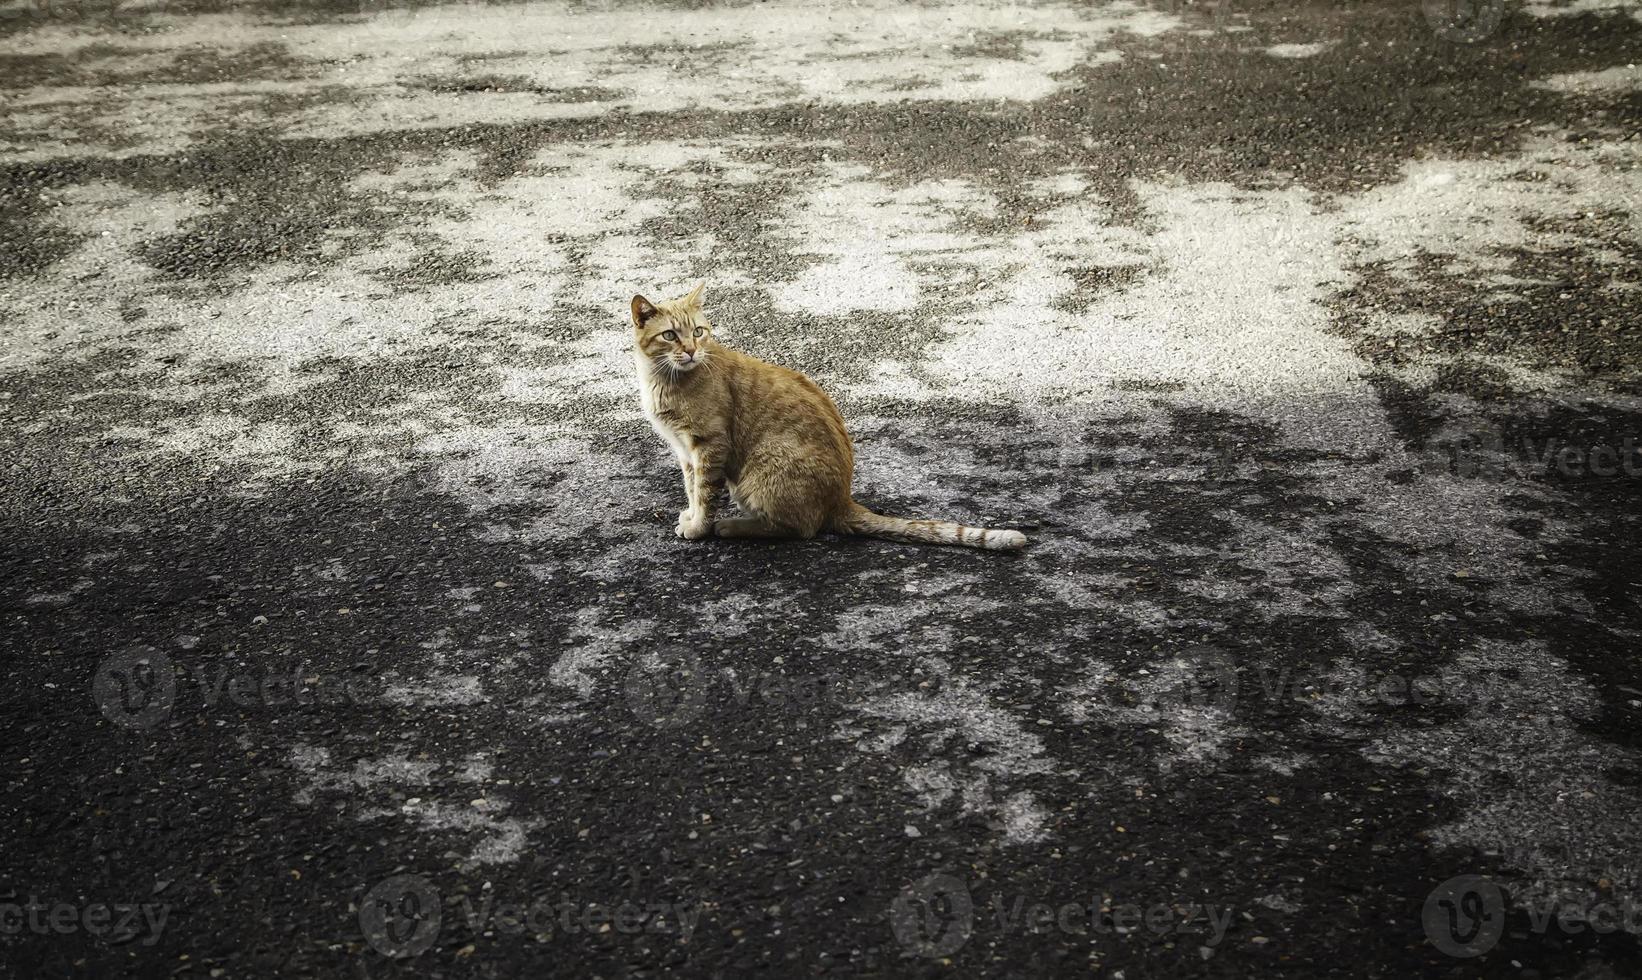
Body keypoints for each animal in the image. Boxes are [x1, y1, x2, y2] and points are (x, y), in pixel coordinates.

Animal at [627, 282, 1024, 551]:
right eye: (670, 335)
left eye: (698, 331)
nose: (692, 351)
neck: (663, 379)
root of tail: (842, 498)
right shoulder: (685, 451)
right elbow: (692, 489)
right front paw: (691, 515)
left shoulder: (708, 446)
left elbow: (705, 493)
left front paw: (699, 527)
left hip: (762, 471)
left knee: (800, 529)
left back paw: (733, 526)